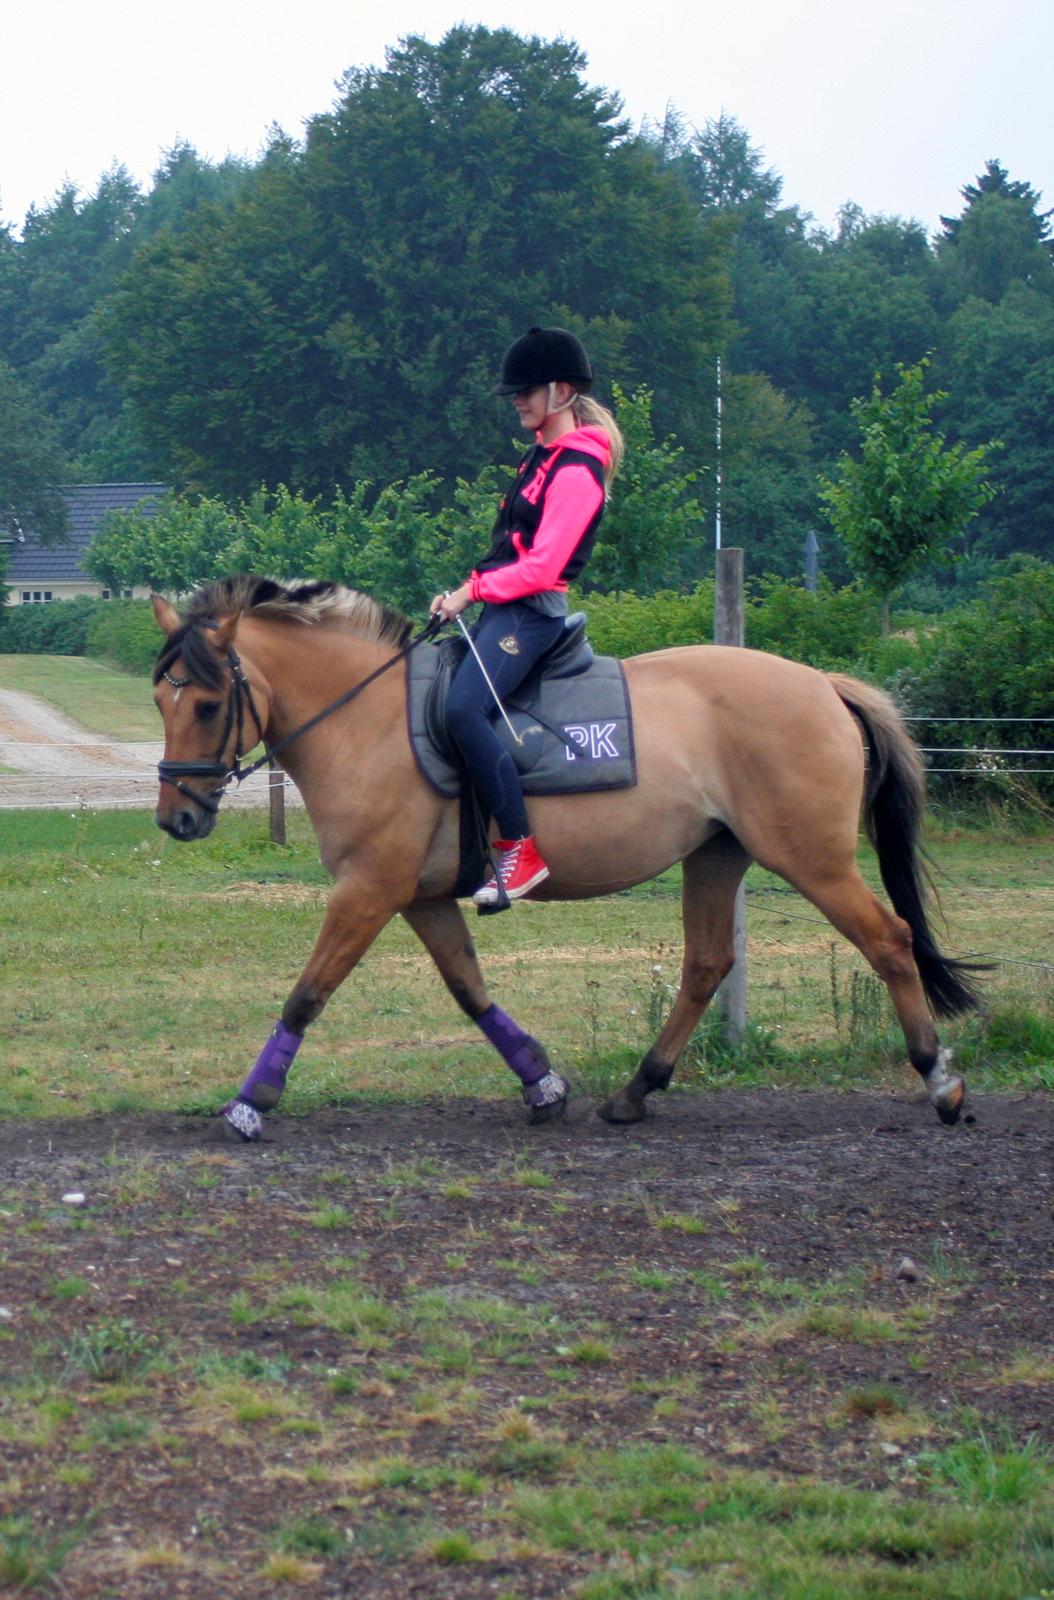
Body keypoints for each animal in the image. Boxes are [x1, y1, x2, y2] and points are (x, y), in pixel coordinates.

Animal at [151, 575, 978, 1141]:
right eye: (161, 702)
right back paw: (638, 1090)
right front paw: (543, 1082)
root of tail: (823, 685)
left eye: (207, 705)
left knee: (889, 941)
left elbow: (307, 993)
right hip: (717, 855)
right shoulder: (417, 895)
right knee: (707, 964)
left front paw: (250, 1104)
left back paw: (940, 1081)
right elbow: (469, 989)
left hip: (812, 860)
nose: (176, 819)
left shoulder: (368, 889)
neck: (366, 719)